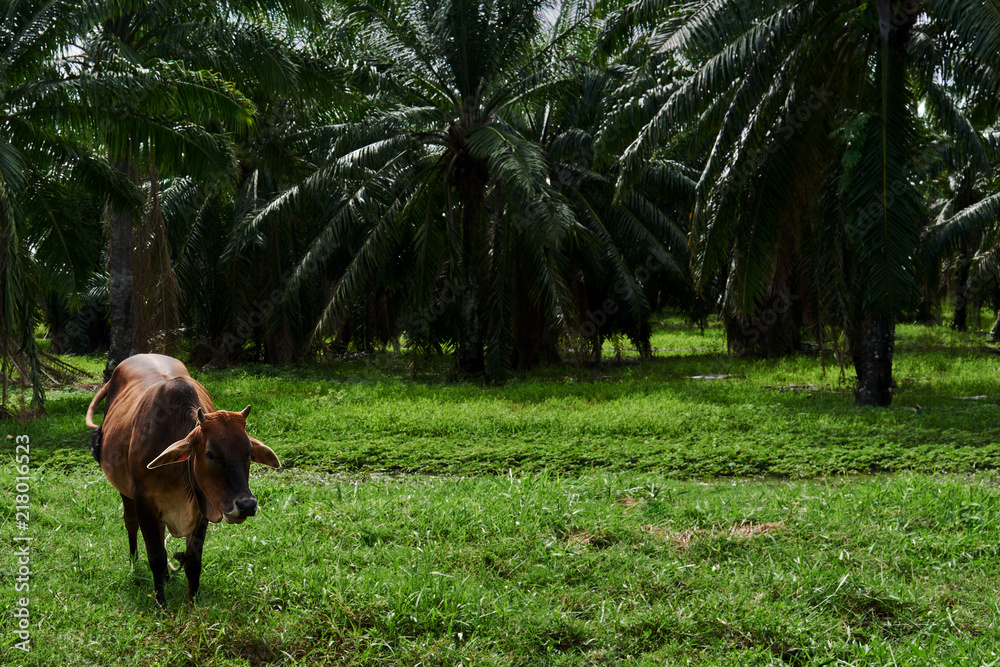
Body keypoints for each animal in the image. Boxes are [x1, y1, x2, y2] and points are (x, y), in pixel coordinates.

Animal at [85, 358, 280, 608]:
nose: (246, 505)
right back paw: (134, 563)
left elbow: (193, 561)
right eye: (210, 454)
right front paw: (161, 605)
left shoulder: (202, 506)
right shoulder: (144, 501)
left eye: (248, 453)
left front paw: (192, 604)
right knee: (131, 524)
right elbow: (157, 557)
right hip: (126, 494)